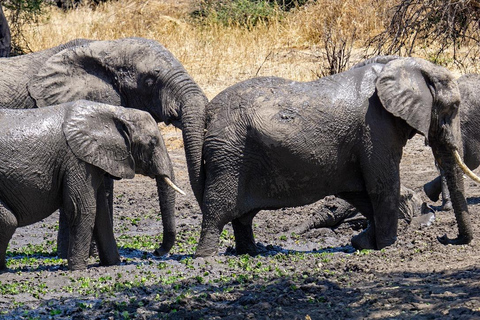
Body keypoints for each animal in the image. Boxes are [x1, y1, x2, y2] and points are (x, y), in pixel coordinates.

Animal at [0, 100, 183, 270]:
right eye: (152, 143)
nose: (157, 252)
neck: (114, 112)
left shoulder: (93, 161)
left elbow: (101, 212)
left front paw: (113, 264)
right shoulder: (76, 159)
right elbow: (81, 208)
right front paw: (77, 269)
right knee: (9, 222)